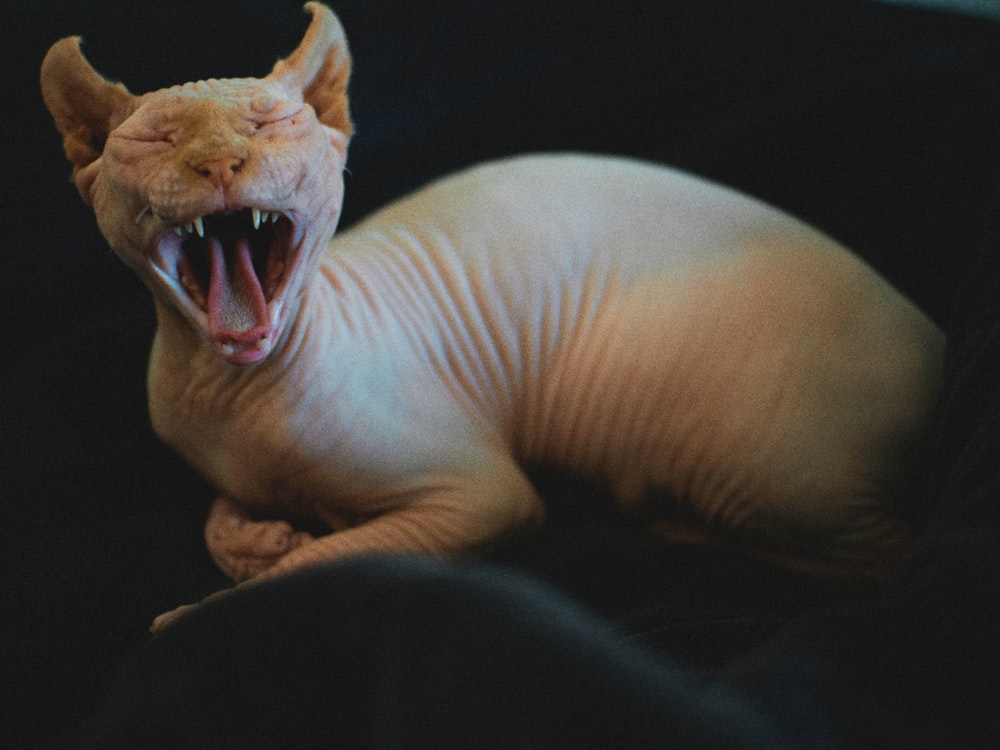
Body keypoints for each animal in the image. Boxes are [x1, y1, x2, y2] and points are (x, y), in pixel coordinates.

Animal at [41, 2, 944, 632]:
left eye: (271, 124)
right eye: (155, 141)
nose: (222, 162)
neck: (234, 387)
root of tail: (934, 343)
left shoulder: (478, 498)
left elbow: (319, 568)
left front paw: (228, 591)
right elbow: (219, 518)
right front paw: (261, 536)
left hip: (736, 453)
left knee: (887, 561)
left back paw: (671, 527)